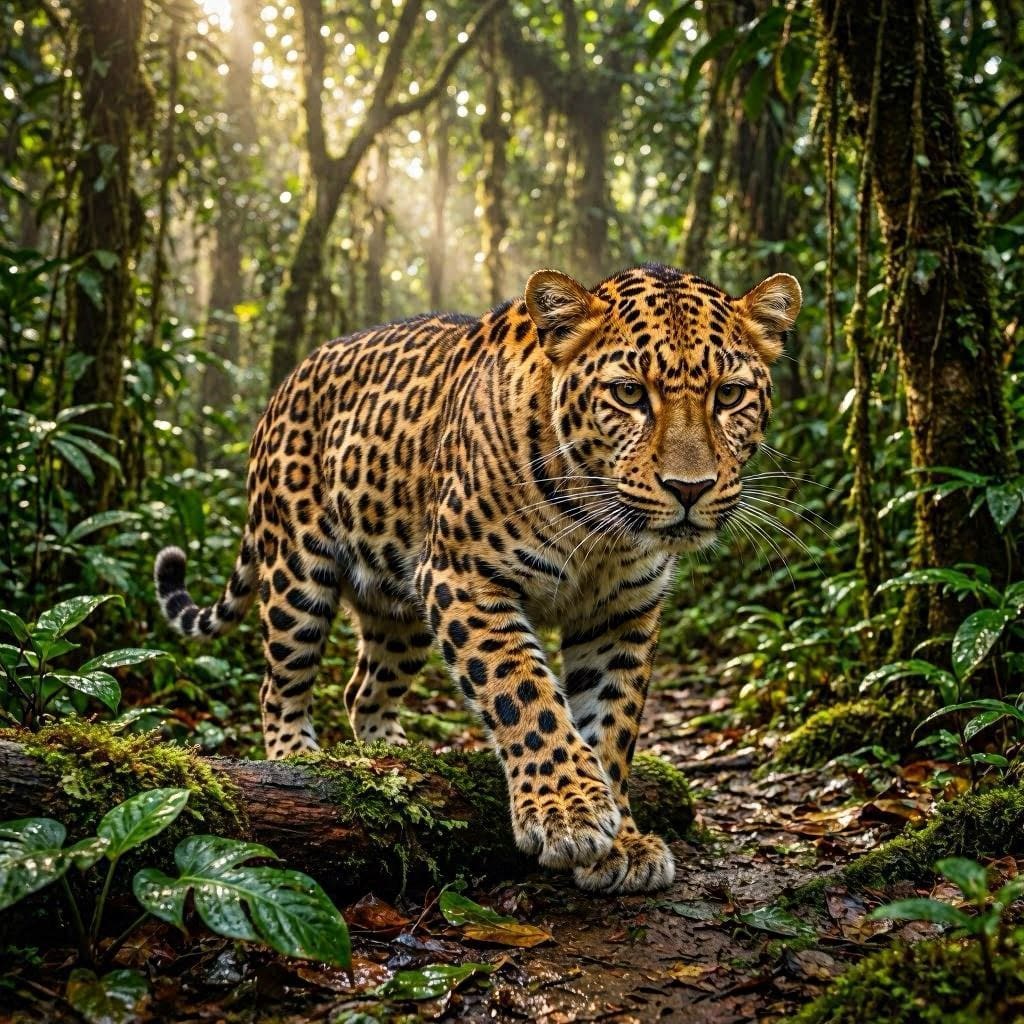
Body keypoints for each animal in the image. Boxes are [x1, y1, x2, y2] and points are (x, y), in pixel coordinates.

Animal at [154, 263, 801, 893]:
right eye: (628, 394)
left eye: (730, 395)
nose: (690, 489)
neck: (599, 529)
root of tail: (288, 381)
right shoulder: (464, 577)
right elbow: (522, 691)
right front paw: (567, 810)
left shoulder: (621, 614)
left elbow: (612, 723)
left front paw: (621, 838)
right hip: (296, 573)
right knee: (280, 684)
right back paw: (298, 758)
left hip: (399, 606)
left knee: (363, 689)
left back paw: (394, 761)